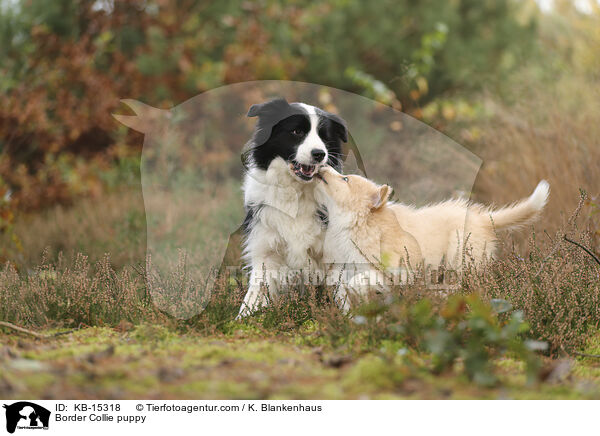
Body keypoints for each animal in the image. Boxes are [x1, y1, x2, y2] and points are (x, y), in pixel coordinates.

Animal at [239, 99, 350, 316]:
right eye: (297, 131)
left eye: (324, 137)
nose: (319, 154)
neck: (297, 192)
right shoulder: (266, 249)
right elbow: (256, 293)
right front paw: (245, 317)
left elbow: (342, 293)